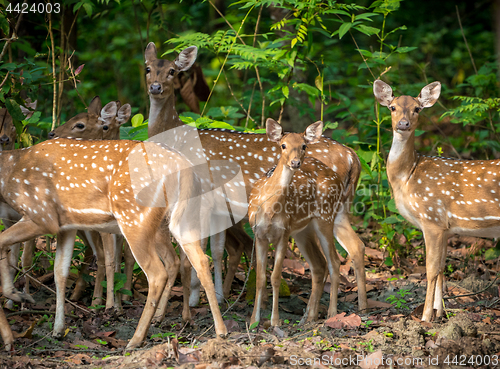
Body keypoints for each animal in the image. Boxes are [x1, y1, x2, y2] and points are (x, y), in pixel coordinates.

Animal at [249, 119, 346, 324]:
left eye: (304, 146)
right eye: (283, 145)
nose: (295, 162)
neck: (269, 209)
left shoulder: (284, 232)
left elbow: (276, 277)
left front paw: (275, 321)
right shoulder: (258, 234)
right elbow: (260, 278)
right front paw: (254, 321)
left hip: (325, 216)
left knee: (334, 261)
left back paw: (332, 314)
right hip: (303, 231)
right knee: (319, 264)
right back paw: (309, 317)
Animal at [372, 79, 500, 320]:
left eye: (417, 108)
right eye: (392, 107)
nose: (403, 123)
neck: (408, 176)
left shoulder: (431, 218)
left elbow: (430, 270)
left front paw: (425, 317)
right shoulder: (446, 227)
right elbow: (441, 267)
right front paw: (439, 313)